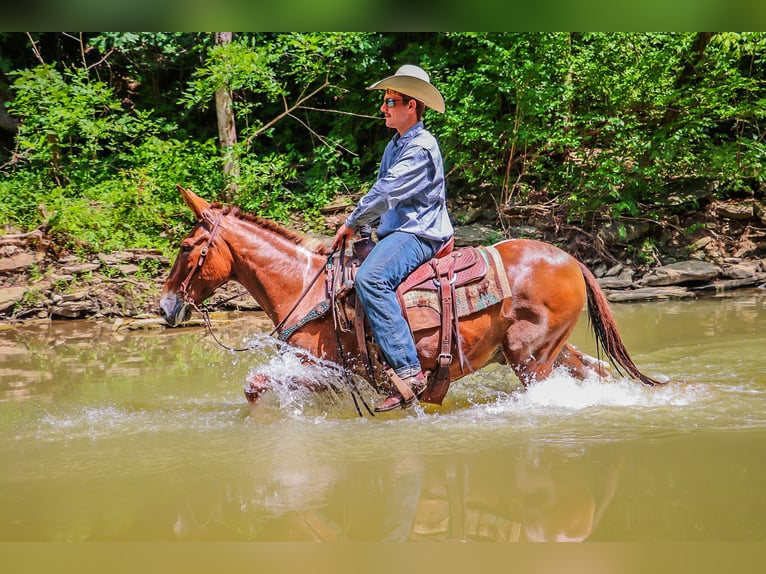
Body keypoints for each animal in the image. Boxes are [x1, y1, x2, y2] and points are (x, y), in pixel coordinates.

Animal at [159, 187, 664, 412]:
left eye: (185, 246)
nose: (164, 307)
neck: (304, 285)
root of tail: (571, 259)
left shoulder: (325, 367)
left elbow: (257, 384)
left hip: (530, 357)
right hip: (546, 351)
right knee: (595, 370)